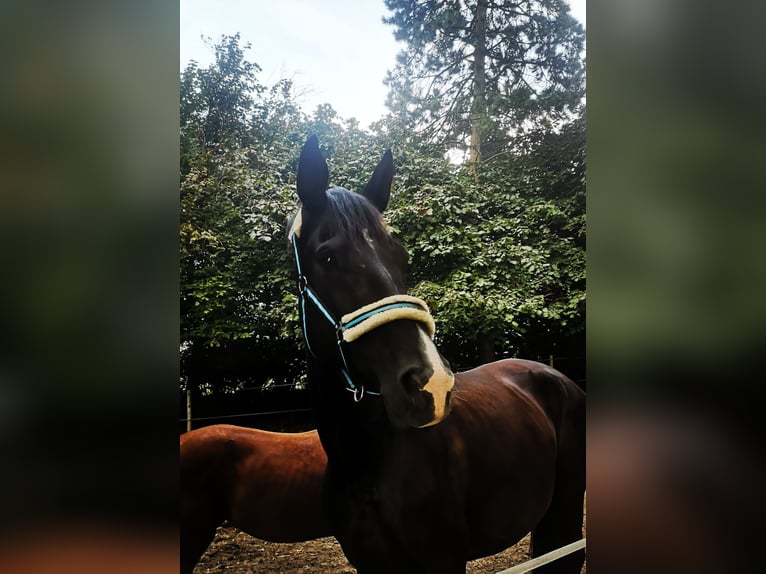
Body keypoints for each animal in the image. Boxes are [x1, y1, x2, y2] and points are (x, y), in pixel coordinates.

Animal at [285, 135, 586, 573]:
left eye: (402, 256)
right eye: (328, 257)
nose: (431, 385)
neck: (365, 464)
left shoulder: (444, 560)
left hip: (564, 513)